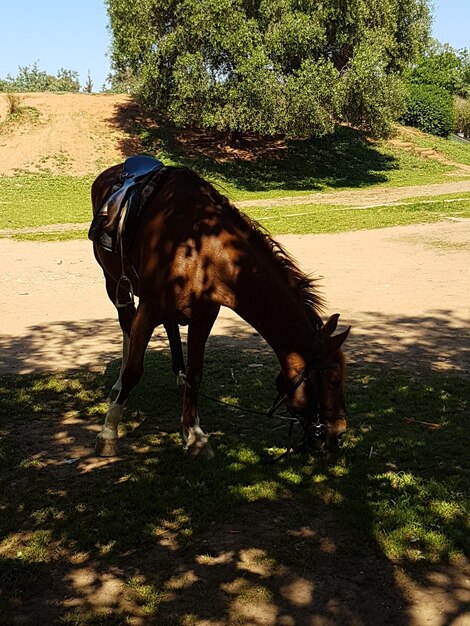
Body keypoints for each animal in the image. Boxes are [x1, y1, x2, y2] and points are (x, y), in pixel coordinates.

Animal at [91, 158, 348, 456]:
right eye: (333, 380)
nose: (339, 432)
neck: (200, 249)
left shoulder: (204, 316)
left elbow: (196, 372)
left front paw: (194, 434)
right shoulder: (148, 309)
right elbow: (134, 370)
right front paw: (109, 431)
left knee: (170, 328)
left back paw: (178, 376)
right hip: (114, 283)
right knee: (126, 327)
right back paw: (118, 386)